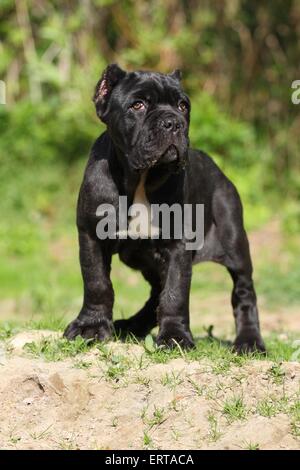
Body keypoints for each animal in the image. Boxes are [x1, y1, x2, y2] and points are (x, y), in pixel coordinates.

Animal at [64, 65, 266, 352]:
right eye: (137, 105)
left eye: (183, 106)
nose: (173, 122)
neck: (141, 178)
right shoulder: (92, 235)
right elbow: (97, 283)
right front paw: (90, 327)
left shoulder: (177, 245)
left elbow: (175, 292)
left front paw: (175, 337)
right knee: (153, 295)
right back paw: (131, 326)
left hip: (234, 241)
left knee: (244, 290)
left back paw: (250, 341)